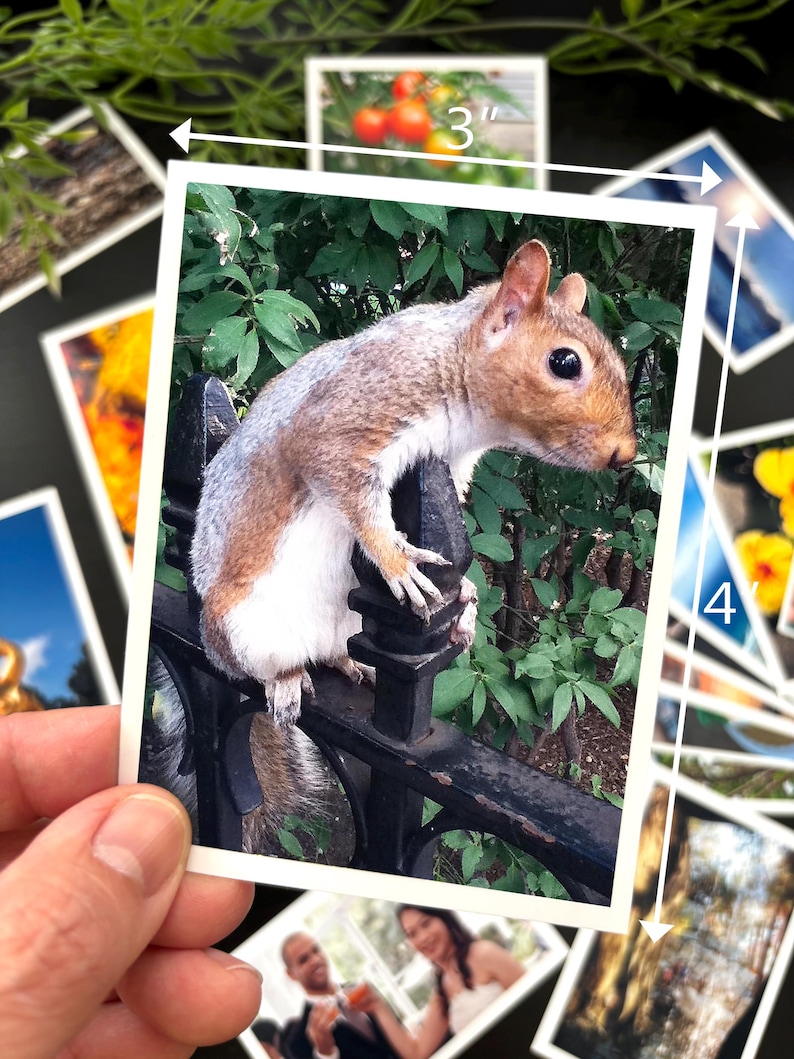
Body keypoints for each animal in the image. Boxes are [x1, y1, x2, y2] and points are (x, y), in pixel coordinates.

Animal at [191, 239, 637, 742]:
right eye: (564, 362)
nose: (625, 453)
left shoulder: (455, 463)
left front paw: (465, 590)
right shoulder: (348, 416)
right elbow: (352, 494)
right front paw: (398, 561)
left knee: (337, 653)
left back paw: (356, 665)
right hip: (241, 629)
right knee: (269, 666)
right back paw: (287, 681)